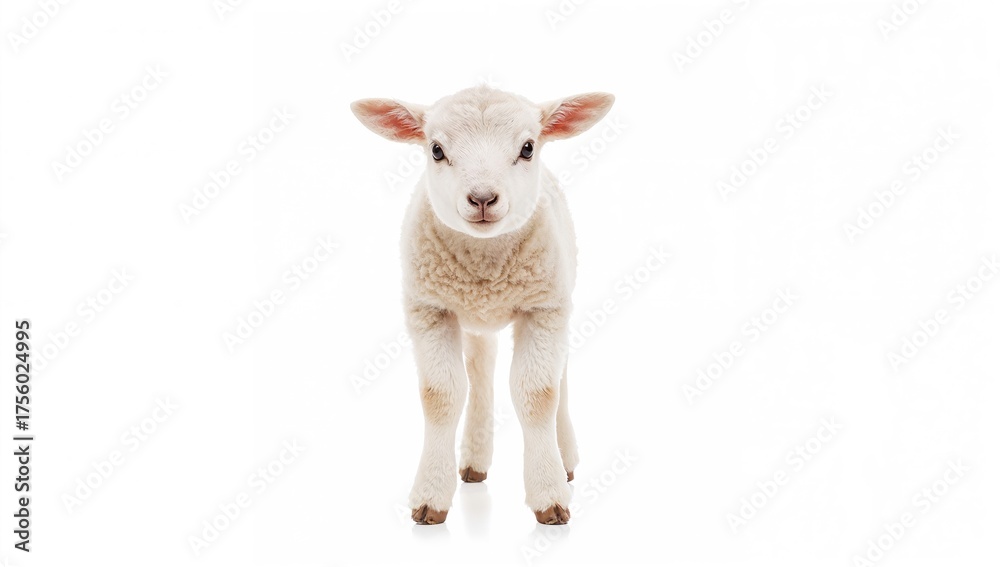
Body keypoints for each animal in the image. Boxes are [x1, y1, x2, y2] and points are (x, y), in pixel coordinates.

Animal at [351, 86, 614, 525]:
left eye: (527, 148)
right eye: (436, 150)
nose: (483, 199)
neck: (484, 264)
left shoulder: (543, 309)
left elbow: (538, 395)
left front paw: (549, 494)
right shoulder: (429, 309)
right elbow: (440, 395)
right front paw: (431, 496)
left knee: (558, 378)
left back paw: (565, 457)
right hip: (473, 319)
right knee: (480, 368)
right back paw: (474, 461)